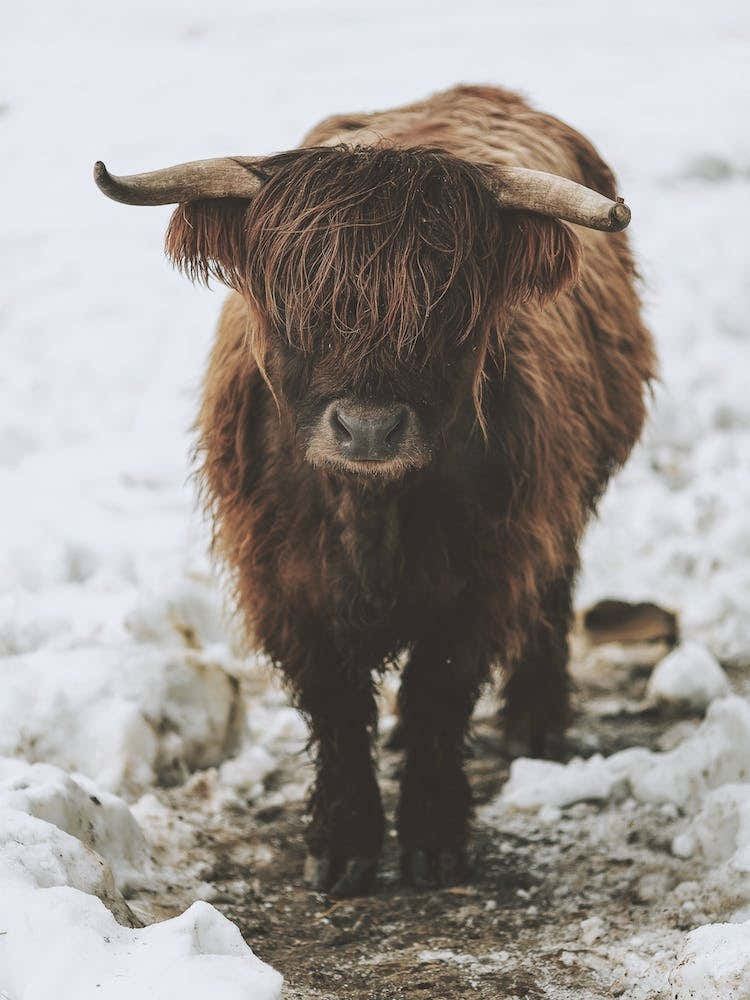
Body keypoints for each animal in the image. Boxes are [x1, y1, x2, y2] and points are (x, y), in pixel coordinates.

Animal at [95, 85, 656, 897]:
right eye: (295, 307)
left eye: (449, 313)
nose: (367, 428)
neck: (370, 509)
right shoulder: (282, 579)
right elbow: (335, 703)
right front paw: (343, 844)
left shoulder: (487, 572)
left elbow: (439, 694)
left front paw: (434, 839)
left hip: (567, 498)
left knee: (553, 588)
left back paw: (537, 722)